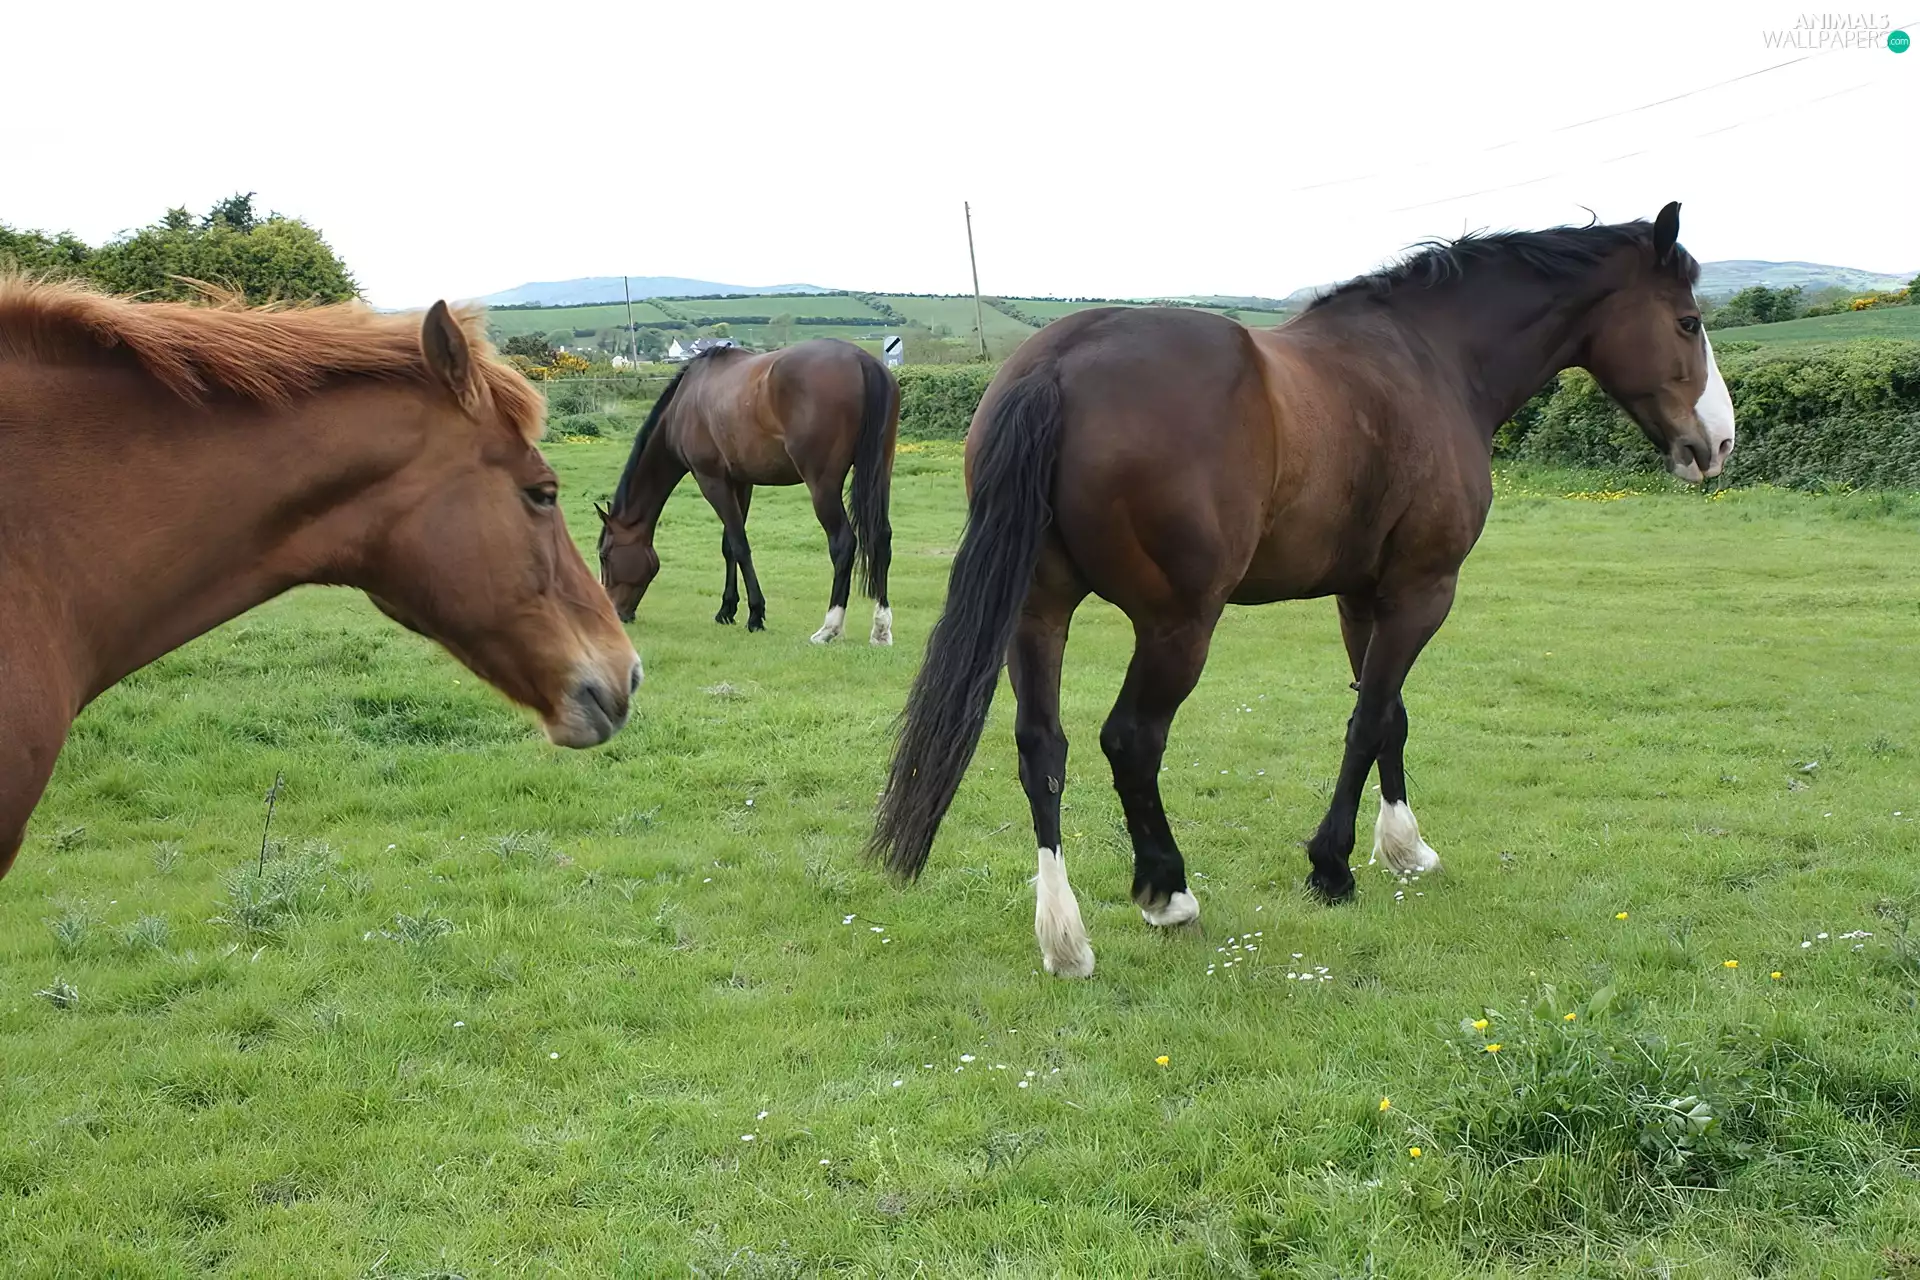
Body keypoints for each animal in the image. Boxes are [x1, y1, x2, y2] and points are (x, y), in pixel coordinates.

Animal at [595, 337, 898, 646]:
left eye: (604, 556)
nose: (615, 613)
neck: (684, 402)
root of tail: (862, 361)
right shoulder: (741, 482)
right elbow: (729, 546)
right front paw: (727, 609)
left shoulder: (711, 480)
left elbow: (740, 545)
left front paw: (755, 614)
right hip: (880, 474)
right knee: (881, 537)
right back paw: (881, 629)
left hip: (823, 486)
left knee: (843, 543)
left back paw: (829, 628)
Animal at [869, 202, 1736, 978]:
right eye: (1688, 321)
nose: (1717, 442)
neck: (1432, 360)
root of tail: (1059, 361)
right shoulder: (1424, 589)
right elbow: (1370, 720)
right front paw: (1335, 865)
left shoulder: (1364, 596)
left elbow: (1390, 717)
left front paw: (1404, 847)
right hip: (1178, 625)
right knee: (1131, 741)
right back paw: (1167, 894)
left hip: (1040, 610)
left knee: (1041, 746)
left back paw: (1064, 937)